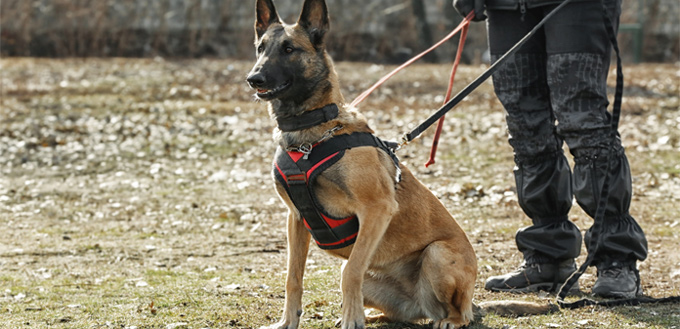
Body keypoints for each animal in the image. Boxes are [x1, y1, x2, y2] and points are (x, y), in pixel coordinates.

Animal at [247, 0, 556, 328]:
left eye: (289, 49)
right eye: (260, 48)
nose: (253, 79)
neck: (310, 136)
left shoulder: (377, 210)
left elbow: (351, 272)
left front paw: (351, 320)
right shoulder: (296, 218)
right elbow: (293, 277)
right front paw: (288, 322)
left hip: (436, 254)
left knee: (458, 313)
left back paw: (446, 319)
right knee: (396, 311)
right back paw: (373, 316)